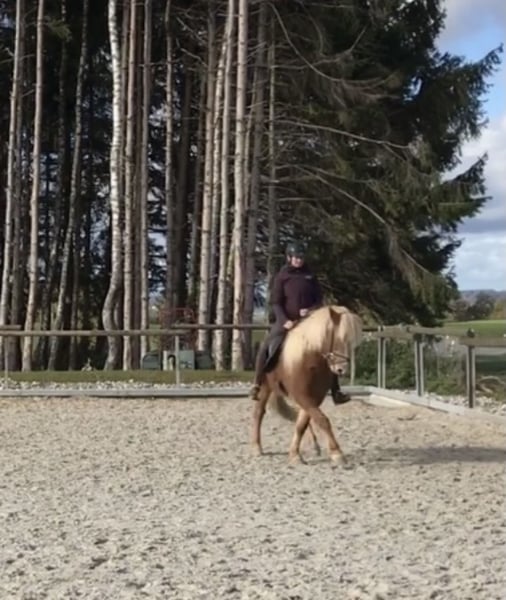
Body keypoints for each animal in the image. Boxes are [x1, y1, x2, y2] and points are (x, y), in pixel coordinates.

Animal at [251, 305, 363, 464]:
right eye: (339, 339)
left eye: (351, 342)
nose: (341, 370)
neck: (311, 360)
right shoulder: (303, 396)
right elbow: (322, 420)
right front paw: (337, 453)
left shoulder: (313, 397)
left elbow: (302, 424)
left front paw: (294, 454)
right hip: (266, 387)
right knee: (259, 412)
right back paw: (256, 447)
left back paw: (315, 445)